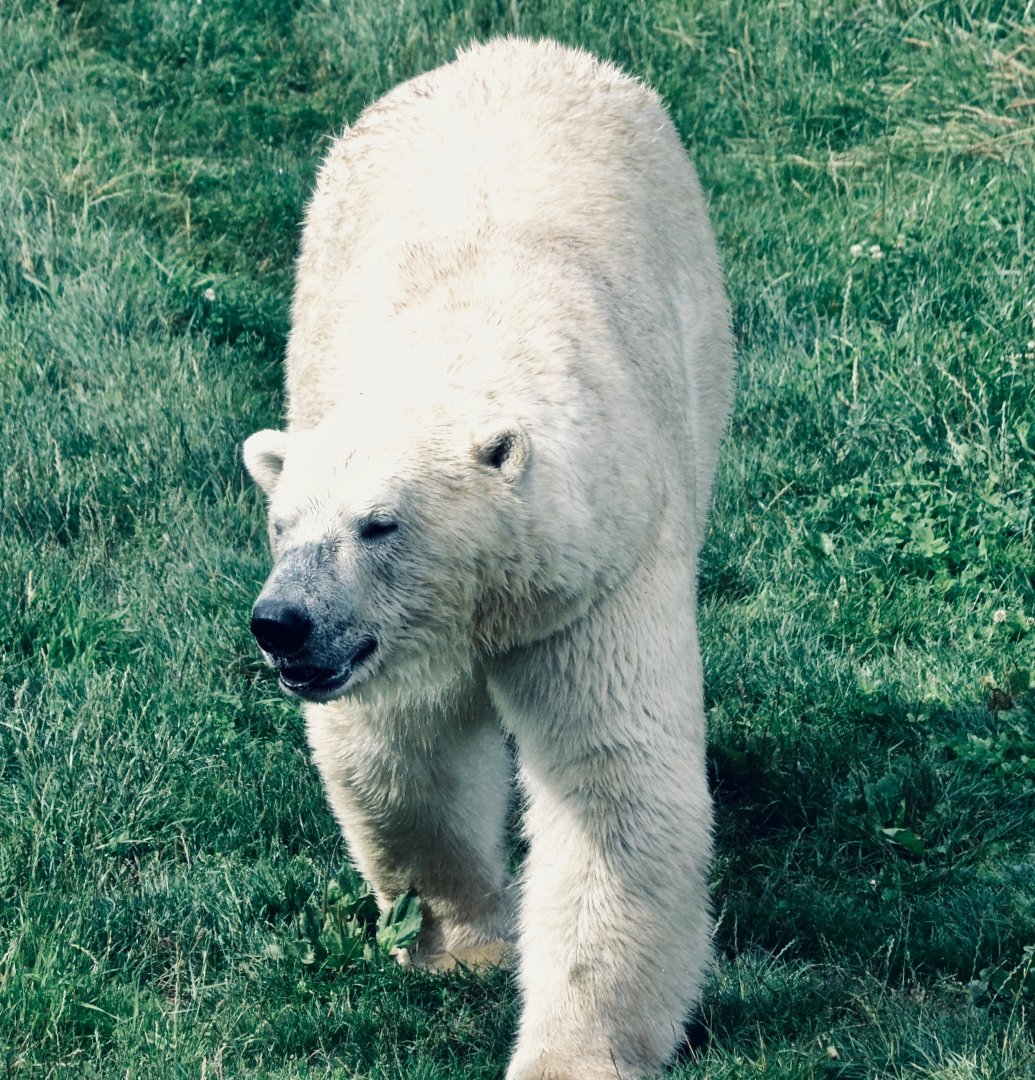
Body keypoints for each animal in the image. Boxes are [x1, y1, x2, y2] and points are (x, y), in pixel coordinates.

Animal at [243, 38, 734, 1080]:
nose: (282, 625)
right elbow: (402, 751)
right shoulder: (391, 642)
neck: (465, 337)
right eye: (281, 523)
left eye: (378, 524)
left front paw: (570, 1052)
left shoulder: (598, 570)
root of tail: (513, 48)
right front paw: (463, 946)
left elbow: (608, 784)